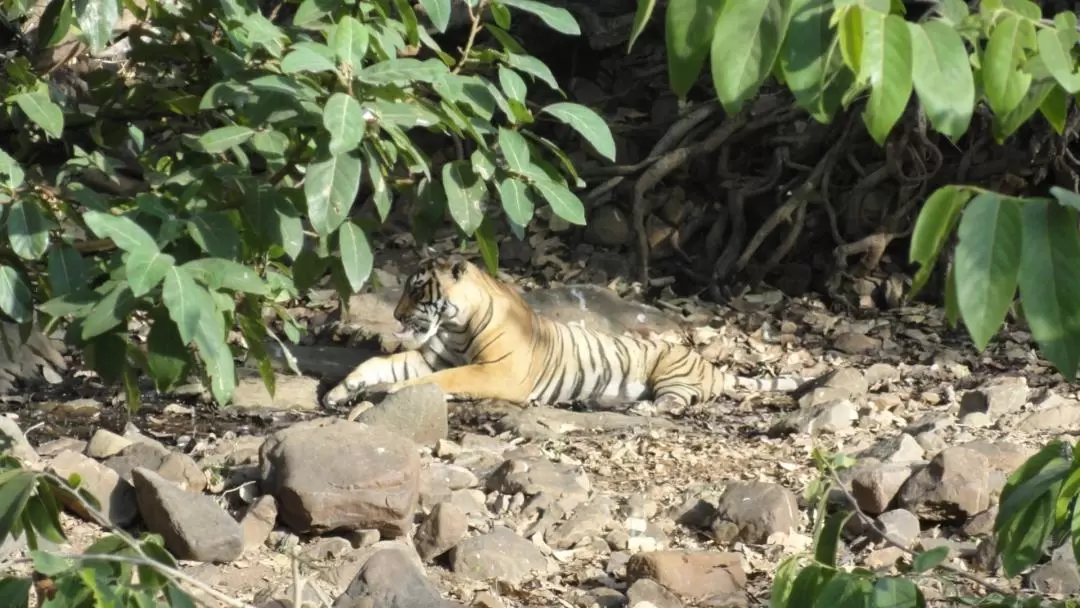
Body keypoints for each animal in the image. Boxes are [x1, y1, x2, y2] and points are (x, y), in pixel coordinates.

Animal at [321, 254, 812, 412]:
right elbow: (377, 363)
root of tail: (711, 365)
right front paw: (341, 391)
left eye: (417, 290)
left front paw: (389, 393)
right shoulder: (430, 355)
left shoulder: (497, 372)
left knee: (673, 403)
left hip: (672, 368)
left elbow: (440, 380)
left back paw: (643, 409)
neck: (457, 326)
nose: (397, 315)